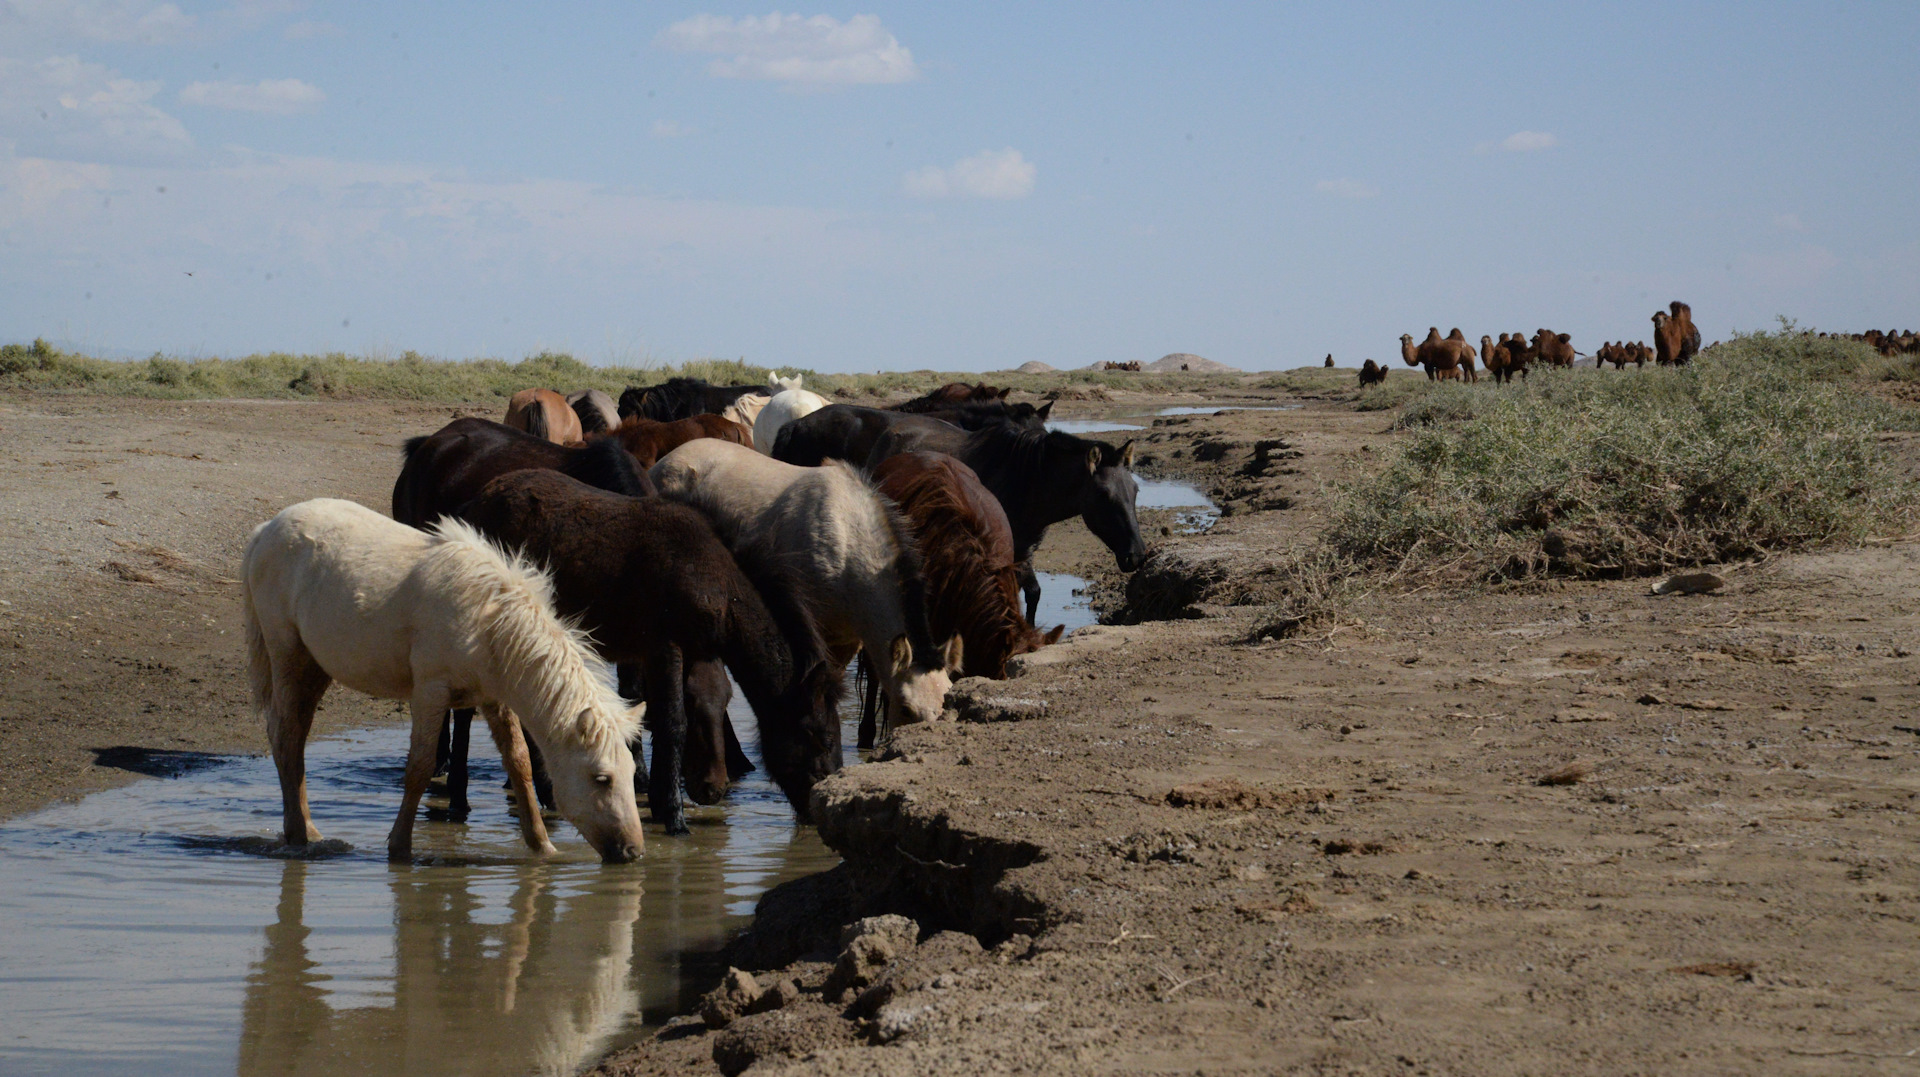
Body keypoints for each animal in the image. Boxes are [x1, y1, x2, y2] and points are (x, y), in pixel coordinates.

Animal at [243, 499, 648, 860]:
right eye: (601, 779)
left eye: (630, 774)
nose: (632, 852)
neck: (488, 622)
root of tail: (265, 530)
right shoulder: (430, 692)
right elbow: (420, 766)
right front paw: (400, 848)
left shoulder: (495, 700)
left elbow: (520, 764)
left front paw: (543, 847)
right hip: (288, 655)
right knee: (287, 736)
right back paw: (299, 835)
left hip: (315, 666)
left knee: (294, 738)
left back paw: (305, 829)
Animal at [867, 420, 1136, 622]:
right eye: (1103, 494)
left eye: (1135, 489)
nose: (1137, 555)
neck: (1026, 481)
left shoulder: (1023, 550)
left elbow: (1032, 594)